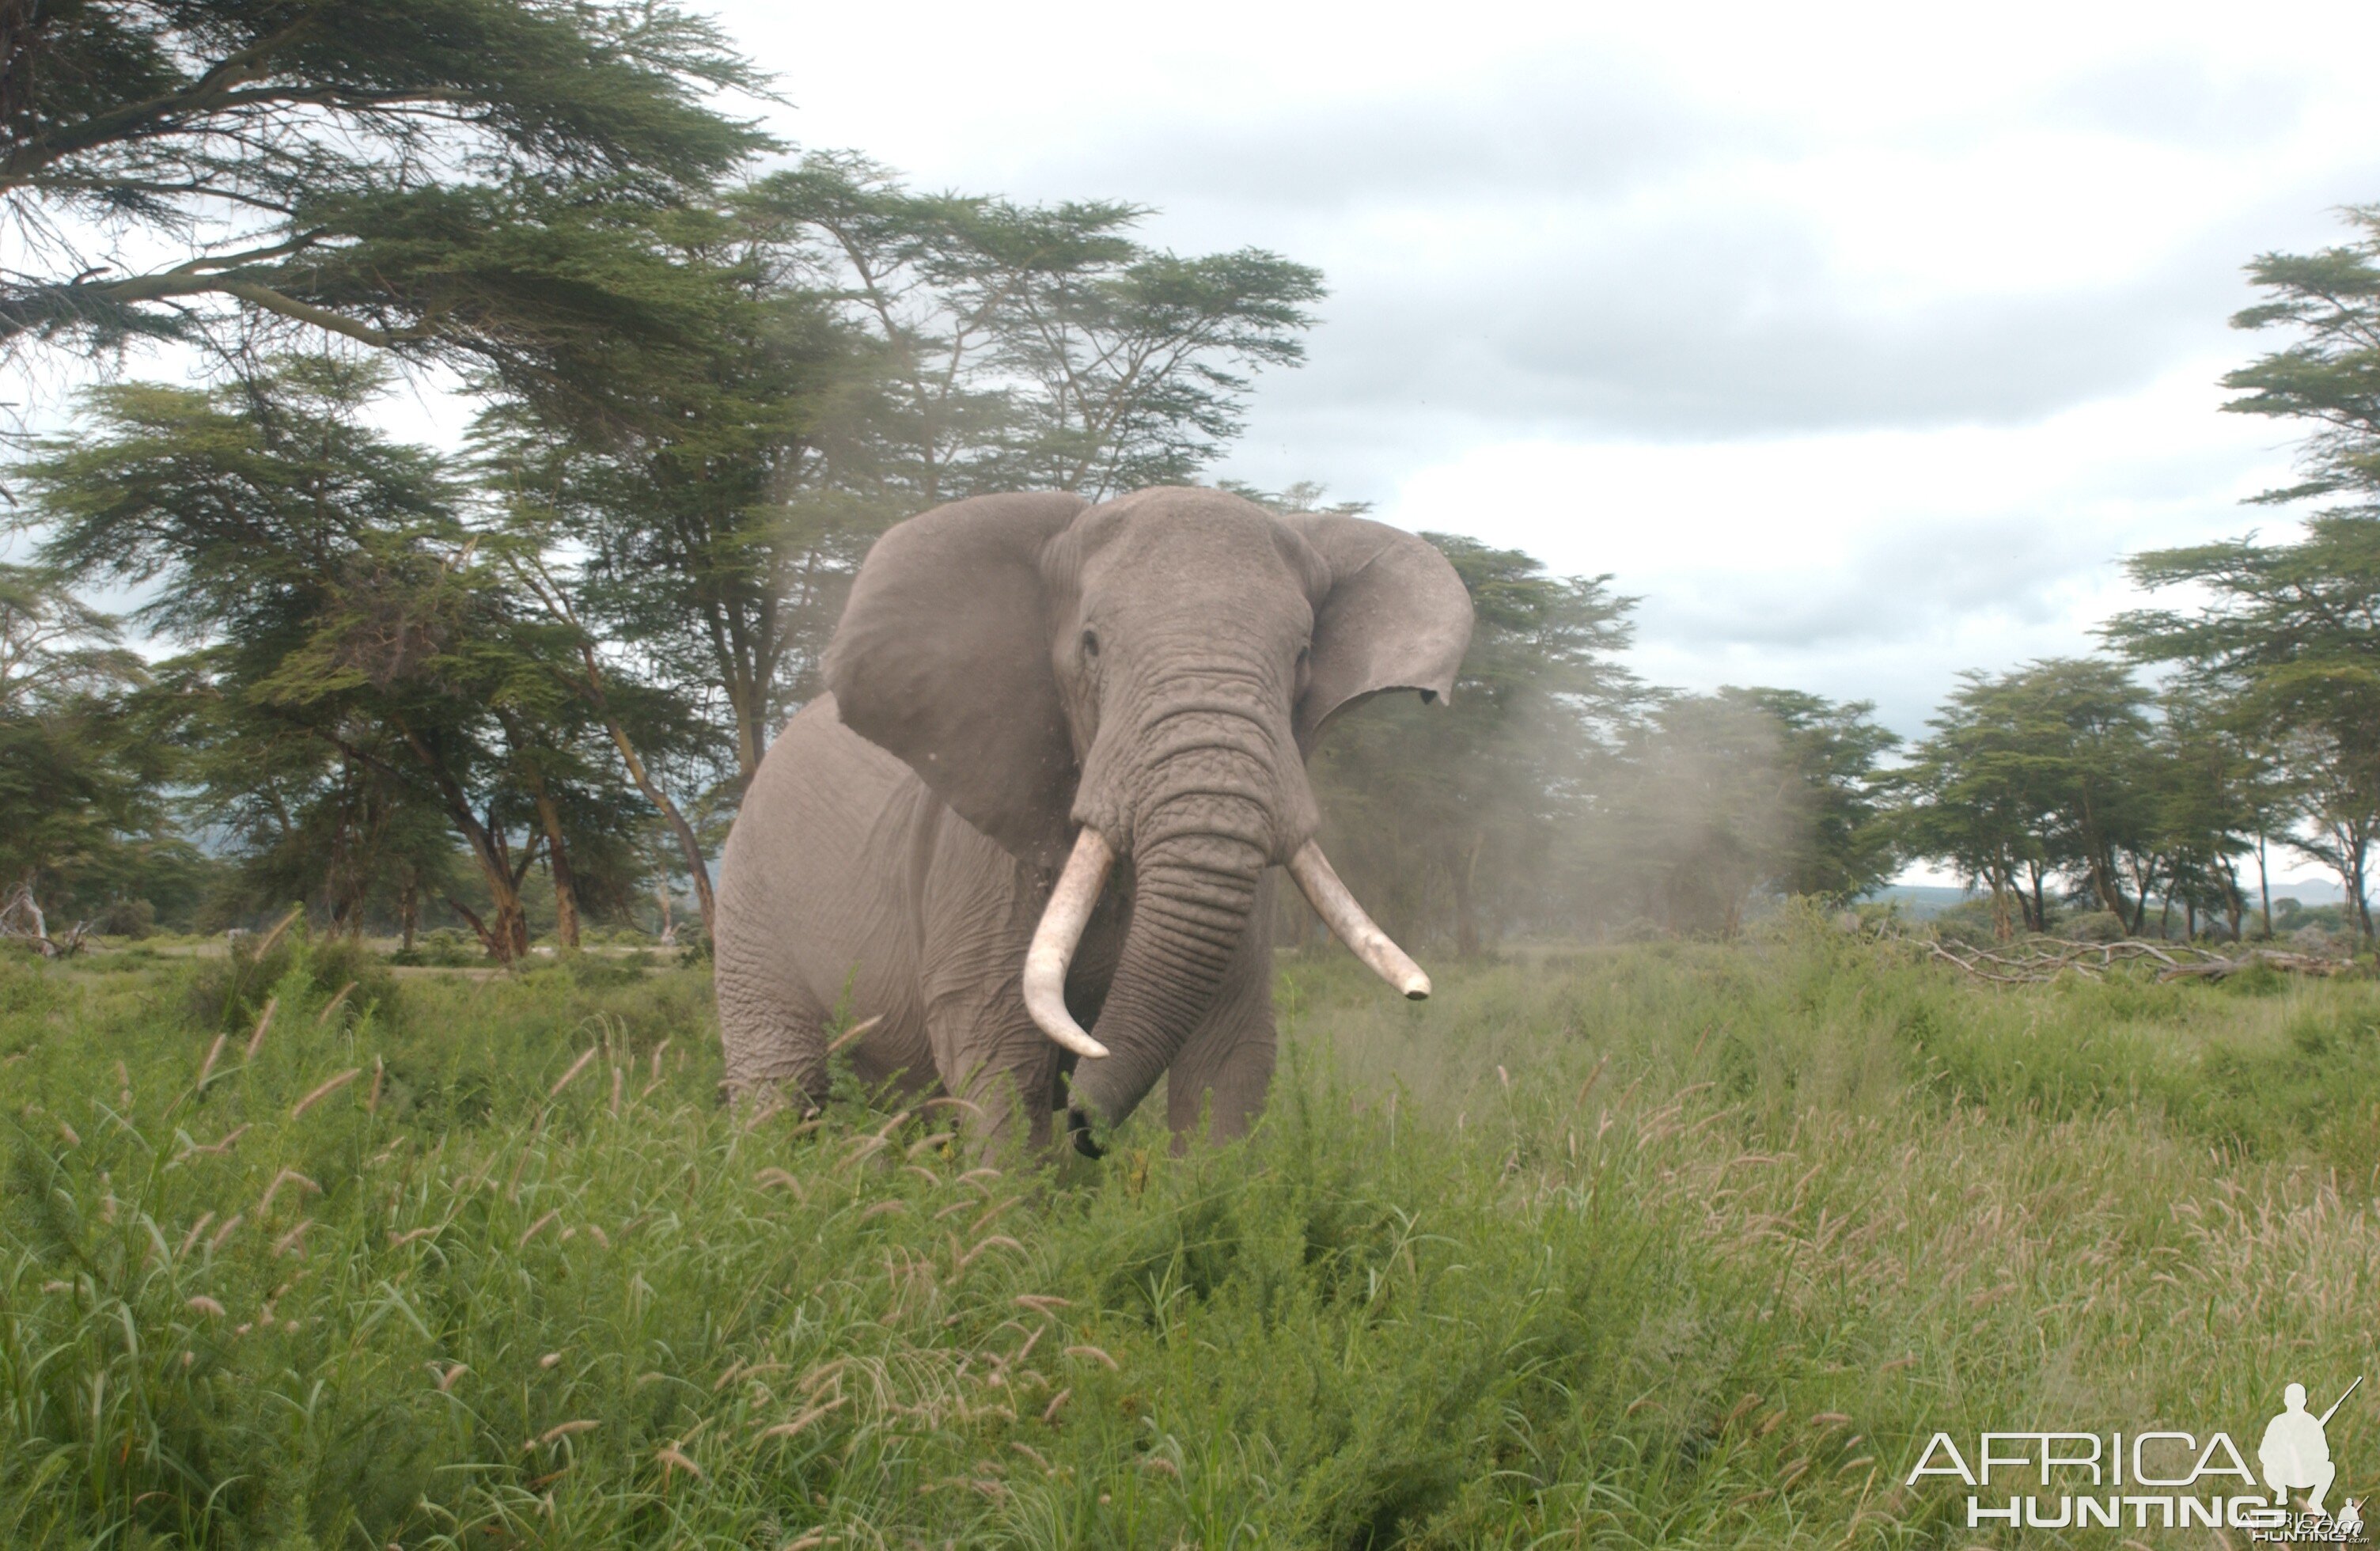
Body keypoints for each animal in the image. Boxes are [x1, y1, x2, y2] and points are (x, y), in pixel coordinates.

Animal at [713, 484, 1473, 1151]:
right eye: (1091, 646)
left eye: (1303, 656)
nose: (1086, 1128)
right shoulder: (981, 870)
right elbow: (999, 1064)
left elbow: (1228, 1066)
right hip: (750, 901)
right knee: (781, 1090)